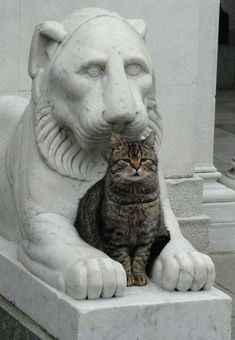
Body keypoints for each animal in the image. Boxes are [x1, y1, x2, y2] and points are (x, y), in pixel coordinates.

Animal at [74, 131, 168, 286]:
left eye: (143, 159)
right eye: (126, 160)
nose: (136, 167)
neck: (135, 198)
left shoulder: (147, 233)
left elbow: (141, 257)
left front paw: (138, 275)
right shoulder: (115, 234)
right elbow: (122, 257)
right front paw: (128, 277)